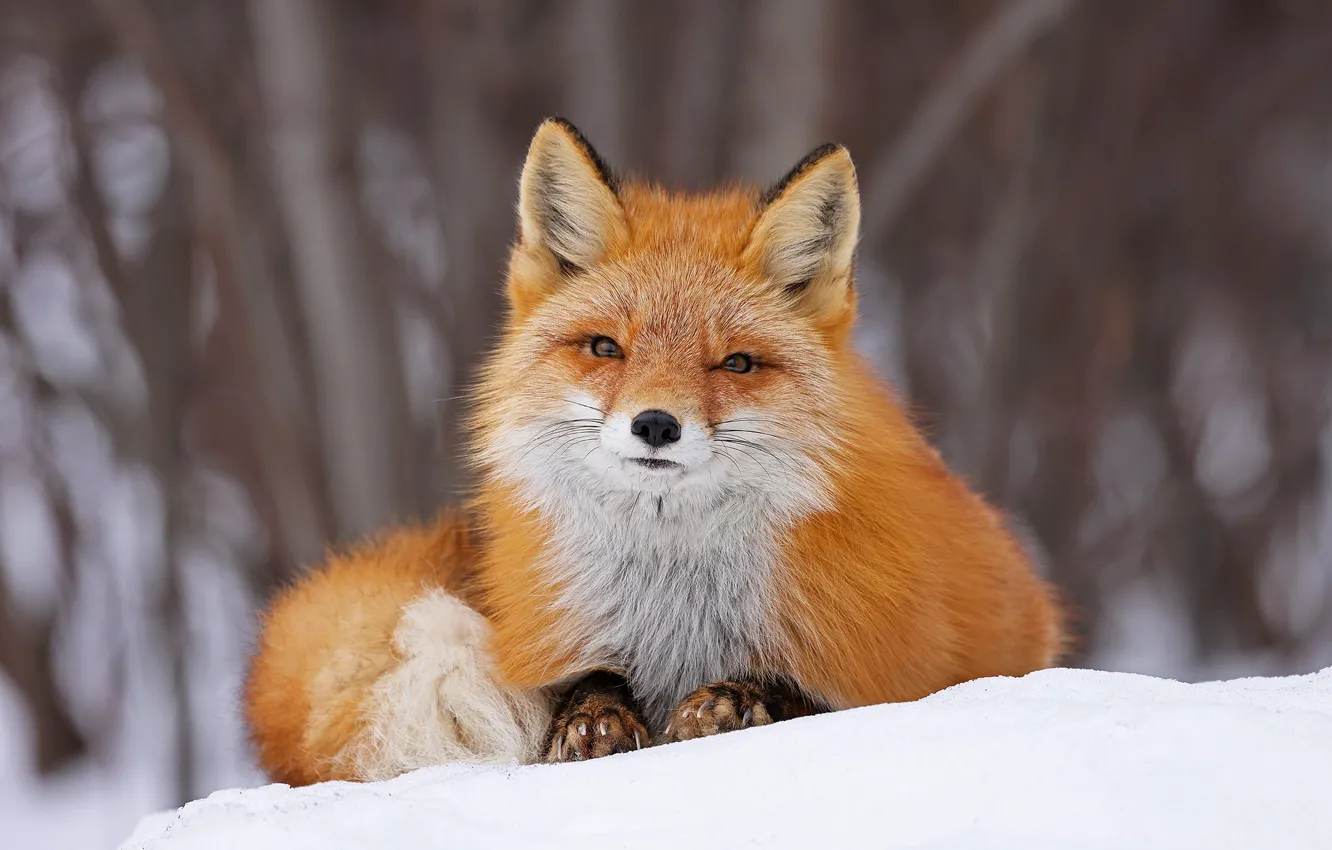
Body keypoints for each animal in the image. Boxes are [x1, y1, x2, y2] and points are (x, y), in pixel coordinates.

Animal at [245, 117, 1067, 785]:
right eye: (607, 348)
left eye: (735, 363)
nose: (656, 425)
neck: (674, 612)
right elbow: (585, 685)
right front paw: (593, 718)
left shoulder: (893, 673)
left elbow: (799, 696)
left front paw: (729, 704)